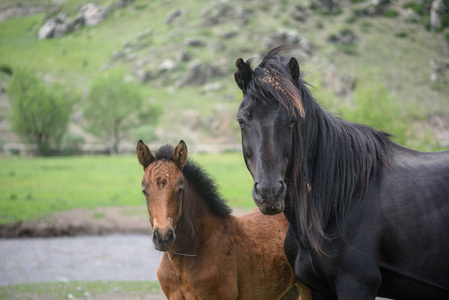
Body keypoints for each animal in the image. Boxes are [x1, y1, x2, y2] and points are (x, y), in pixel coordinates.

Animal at [233, 45, 448, 300]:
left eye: (293, 119)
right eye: (241, 120)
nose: (269, 193)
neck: (340, 198)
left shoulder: (357, 284)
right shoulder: (318, 289)